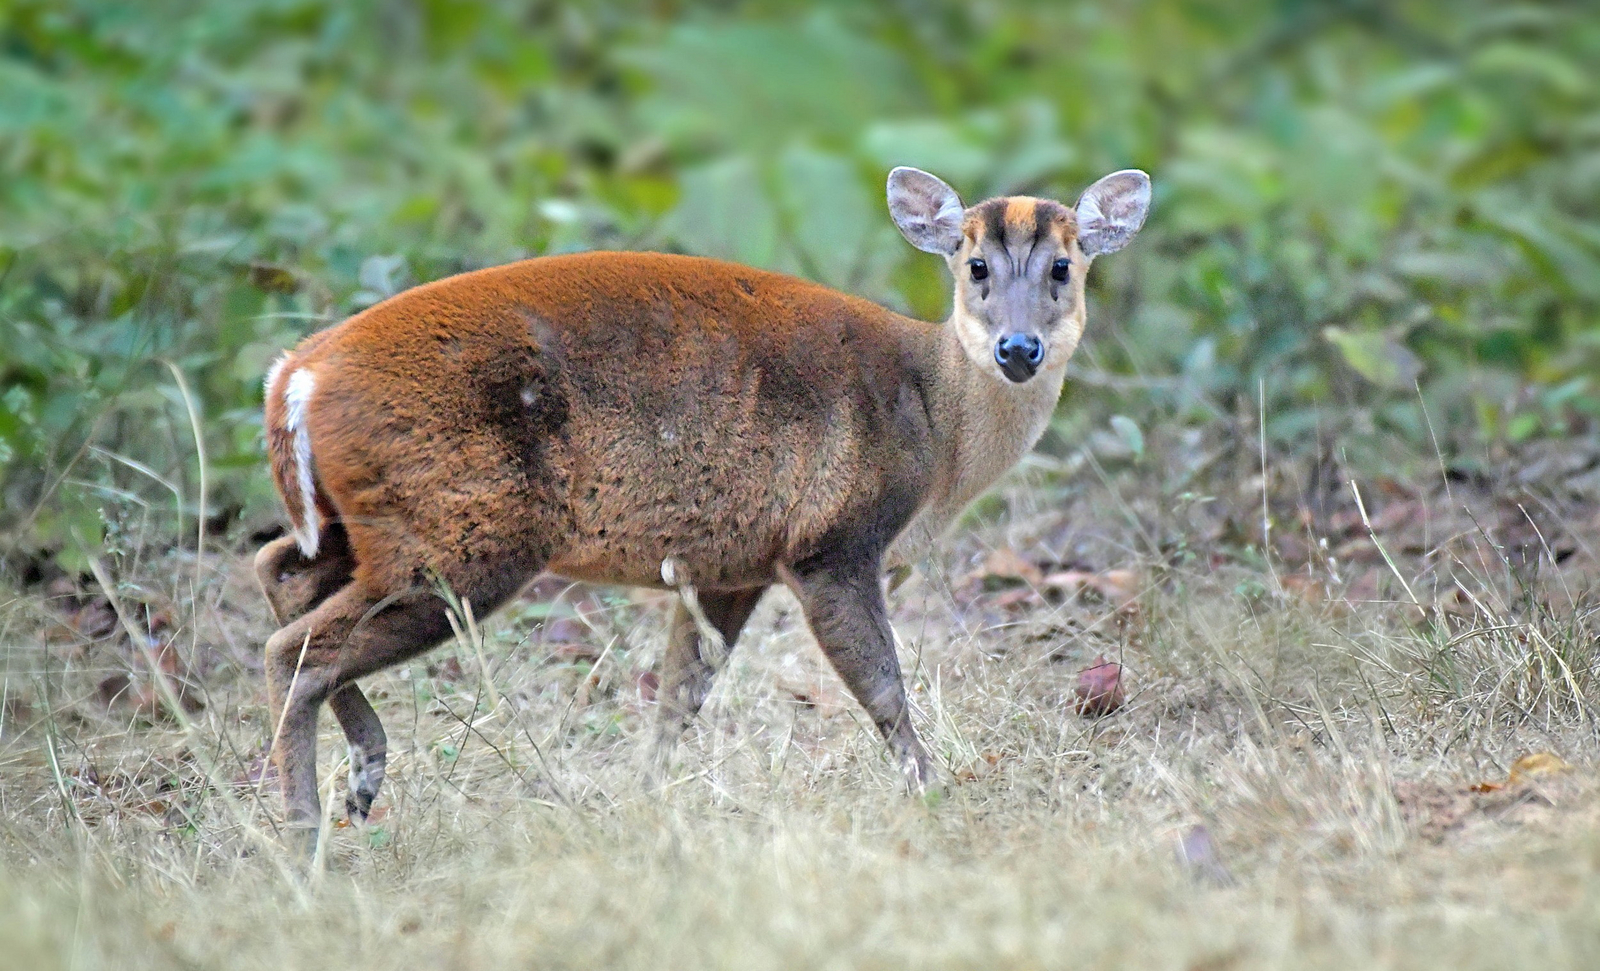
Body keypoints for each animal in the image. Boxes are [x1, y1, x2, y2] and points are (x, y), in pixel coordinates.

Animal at [255, 165, 1151, 850]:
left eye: (1065, 267)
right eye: (975, 267)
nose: (1018, 348)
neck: (936, 419)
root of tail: (296, 373)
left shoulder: (728, 565)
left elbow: (680, 696)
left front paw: (644, 804)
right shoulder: (830, 541)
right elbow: (884, 687)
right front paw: (937, 794)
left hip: (366, 523)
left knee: (278, 570)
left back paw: (360, 781)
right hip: (459, 534)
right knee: (297, 648)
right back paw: (305, 832)